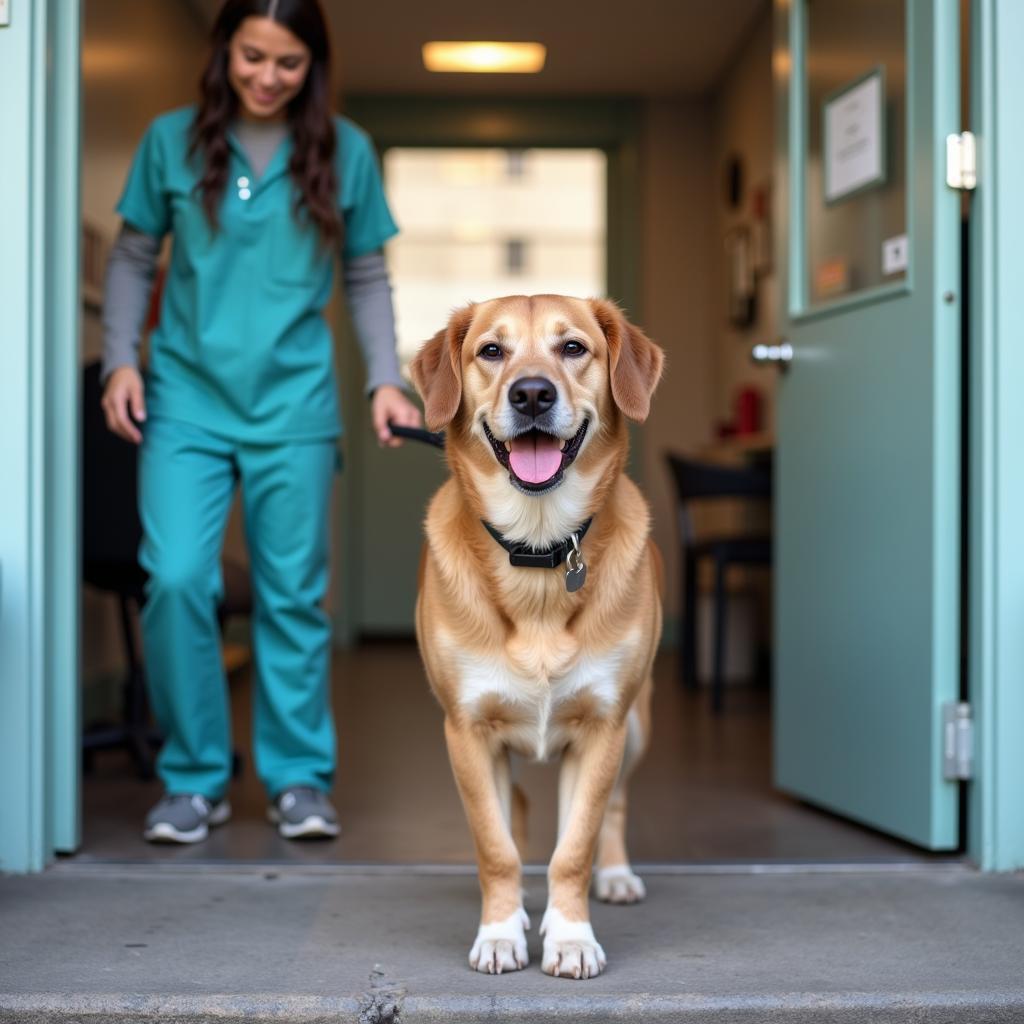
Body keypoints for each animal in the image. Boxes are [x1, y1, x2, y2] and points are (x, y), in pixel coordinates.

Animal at [407, 294, 663, 974]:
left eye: (572, 348)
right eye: (491, 351)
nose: (530, 395)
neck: (540, 552)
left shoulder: (603, 728)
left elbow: (574, 848)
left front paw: (571, 936)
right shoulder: (467, 731)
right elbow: (495, 847)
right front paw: (500, 932)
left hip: (637, 727)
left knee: (616, 809)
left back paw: (615, 876)